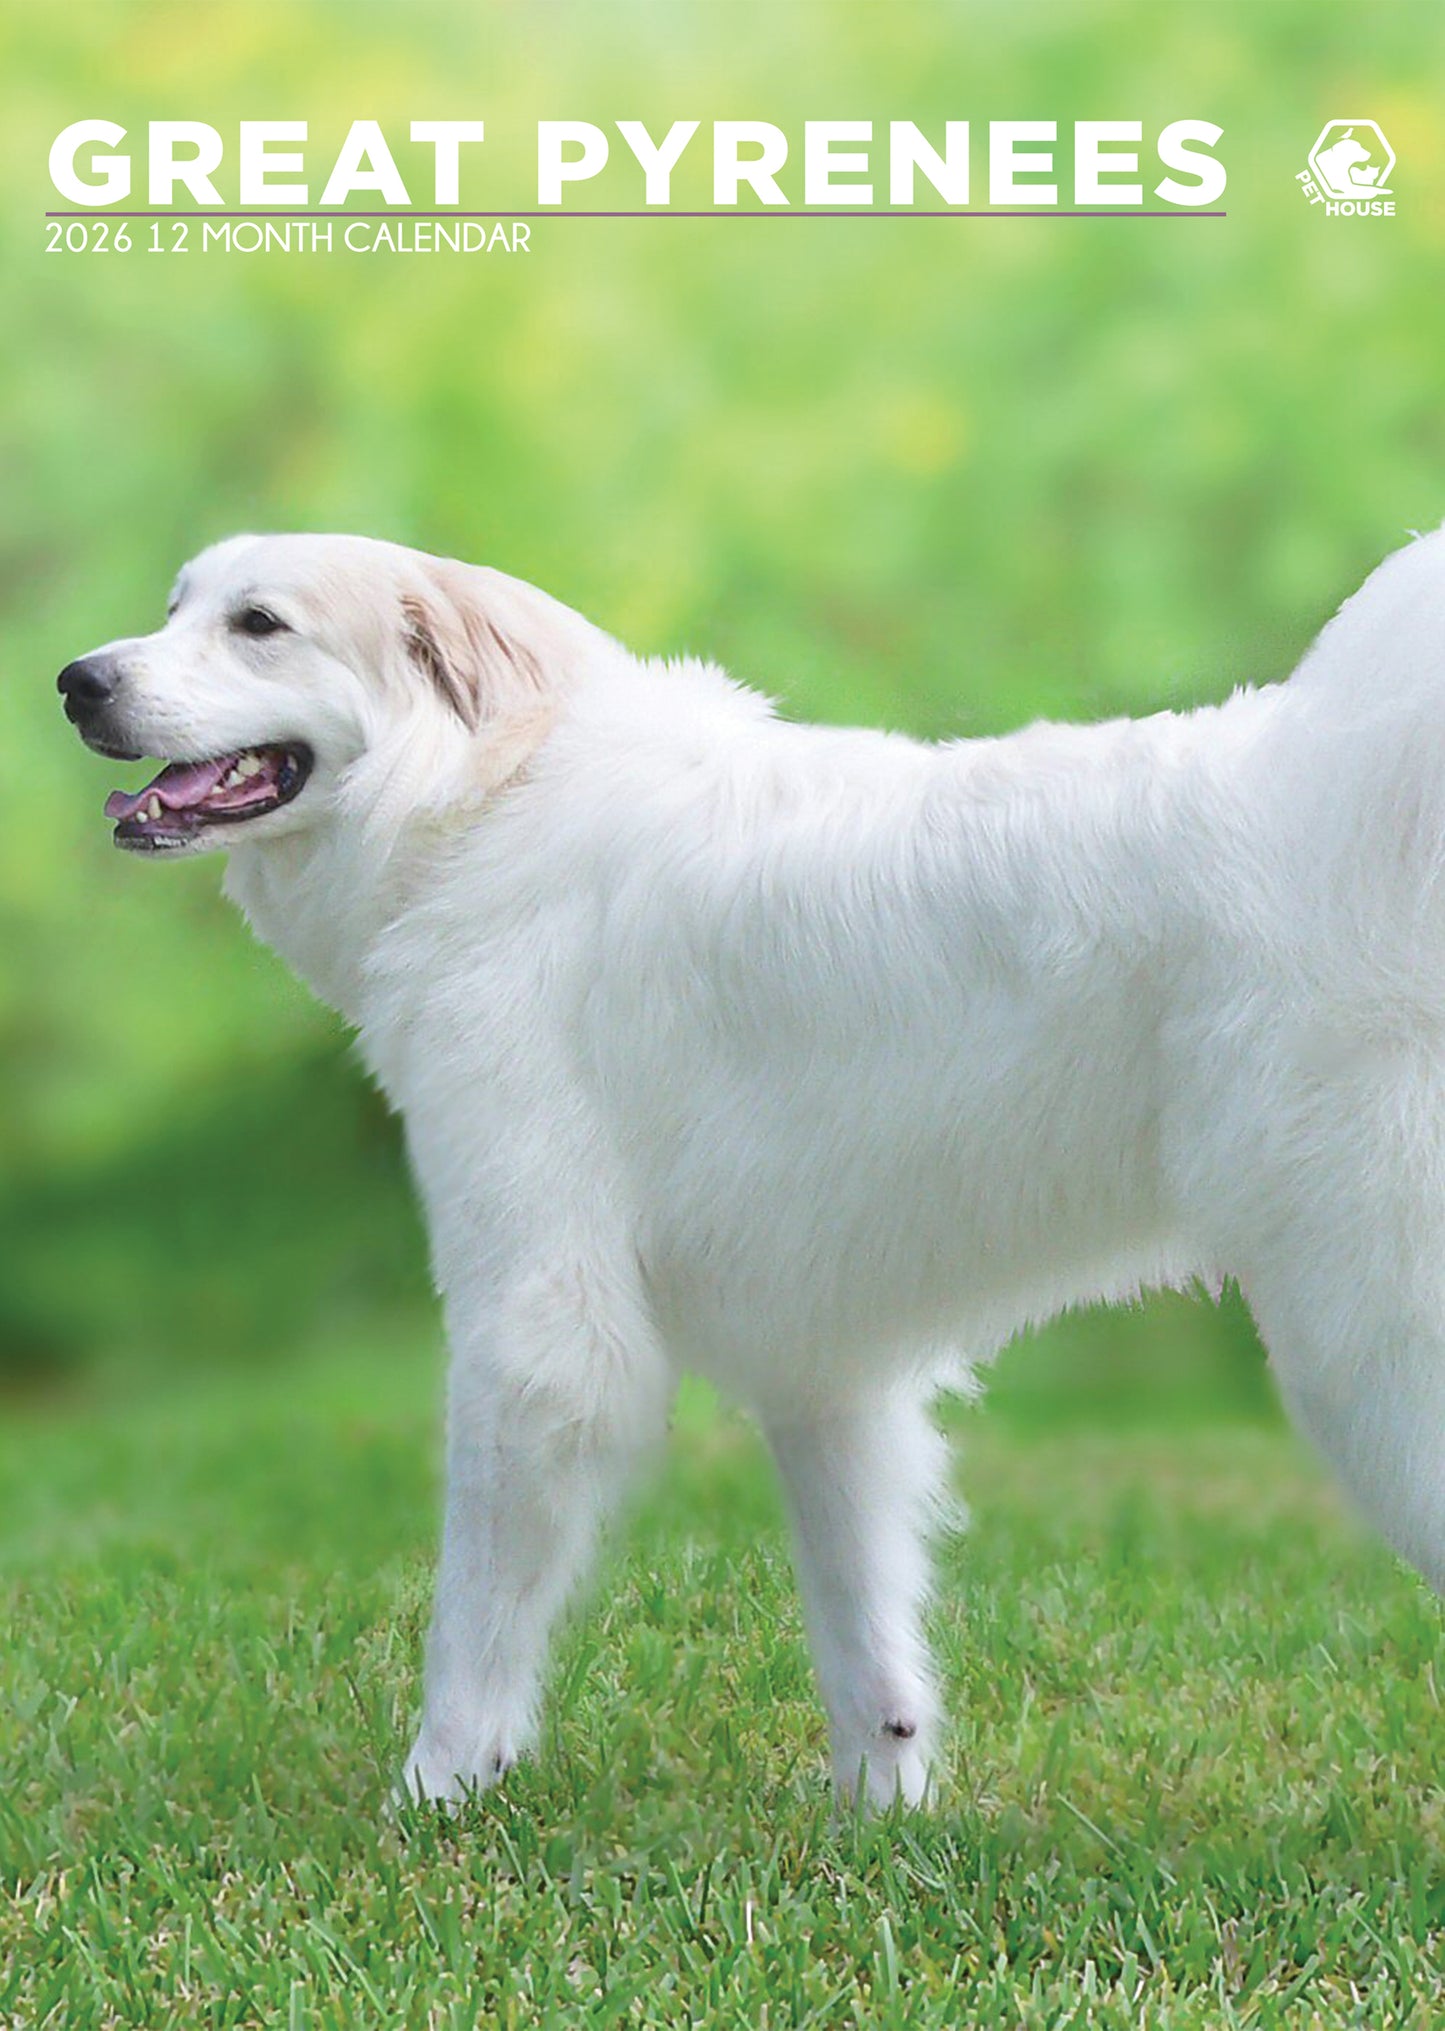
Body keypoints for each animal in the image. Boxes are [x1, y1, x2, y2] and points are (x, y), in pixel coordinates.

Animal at [59, 528, 1445, 1811]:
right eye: (174, 608)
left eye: (258, 624)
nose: (75, 681)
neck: (482, 799)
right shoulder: (824, 1372)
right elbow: (862, 1637)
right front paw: (880, 1820)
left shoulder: (536, 1333)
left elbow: (473, 1621)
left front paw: (432, 1798)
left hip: (1365, 1345)